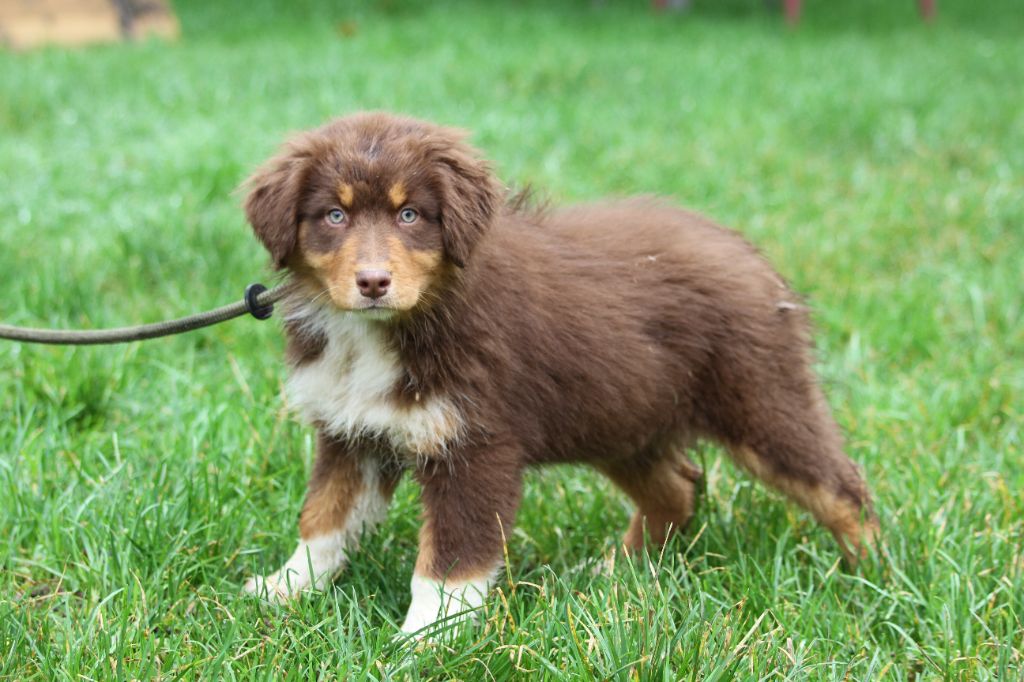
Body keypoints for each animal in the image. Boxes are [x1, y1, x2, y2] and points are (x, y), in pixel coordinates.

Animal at [241, 112, 878, 635]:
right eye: (334, 215)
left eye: (410, 214)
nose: (373, 282)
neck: (388, 328)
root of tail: (749, 254)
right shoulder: (352, 431)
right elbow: (323, 519)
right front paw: (283, 590)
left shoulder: (476, 443)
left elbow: (449, 562)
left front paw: (422, 641)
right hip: (624, 418)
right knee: (678, 487)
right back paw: (618, 573)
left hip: (760, 399)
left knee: (843, 487)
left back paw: (871, 579)